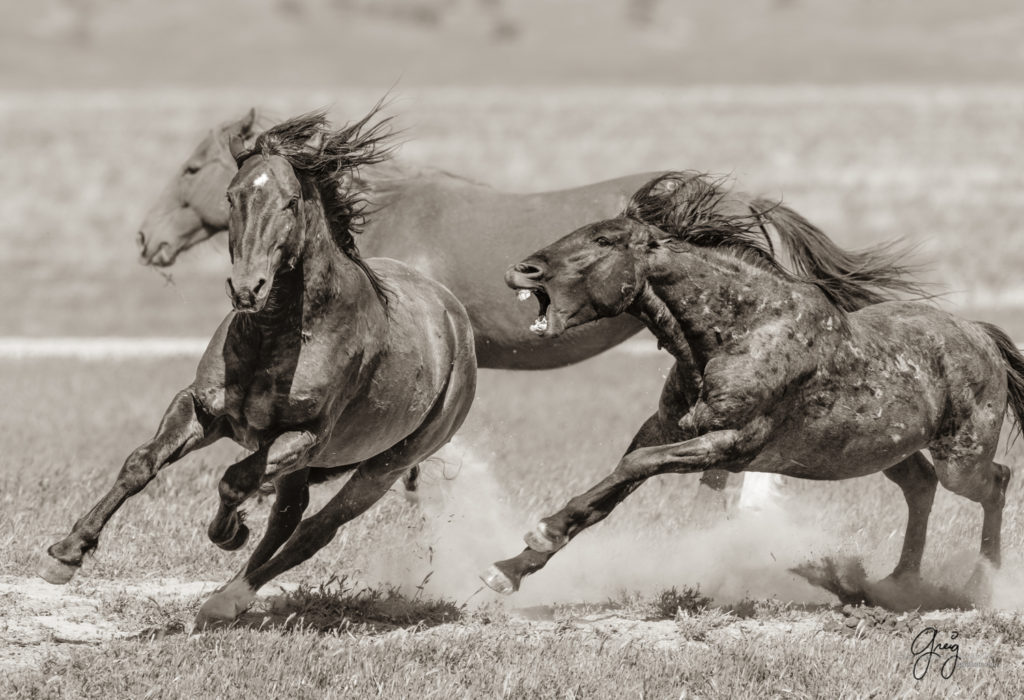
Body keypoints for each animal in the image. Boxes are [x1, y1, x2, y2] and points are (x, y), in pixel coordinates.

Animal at [36, 110, 475, 630]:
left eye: (291, 201)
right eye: (232, 196)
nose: (247, 289)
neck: (277, 331)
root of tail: (454, 318)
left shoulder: (303, 437)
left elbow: (235, 480)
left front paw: (228, 531)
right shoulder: (204, 410)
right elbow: (140, 464)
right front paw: (66, 553)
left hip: (384, 467)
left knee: (314, 530)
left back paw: (229, 597)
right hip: (309, 468)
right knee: (289, 516)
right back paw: (228, 591)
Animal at [481, 171, 1024, 593]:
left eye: (604, 240)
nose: (521, 270)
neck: (739, 330)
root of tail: (982, 336)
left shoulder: (730, 443)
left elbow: (635, 466)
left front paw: (542, 532)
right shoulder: (666, 428)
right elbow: (611, 491)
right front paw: (510, 568)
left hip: (961, 459)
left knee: (996, 482)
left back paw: (982, 582)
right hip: (890, 452)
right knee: (921, 487)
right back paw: (898, 582)